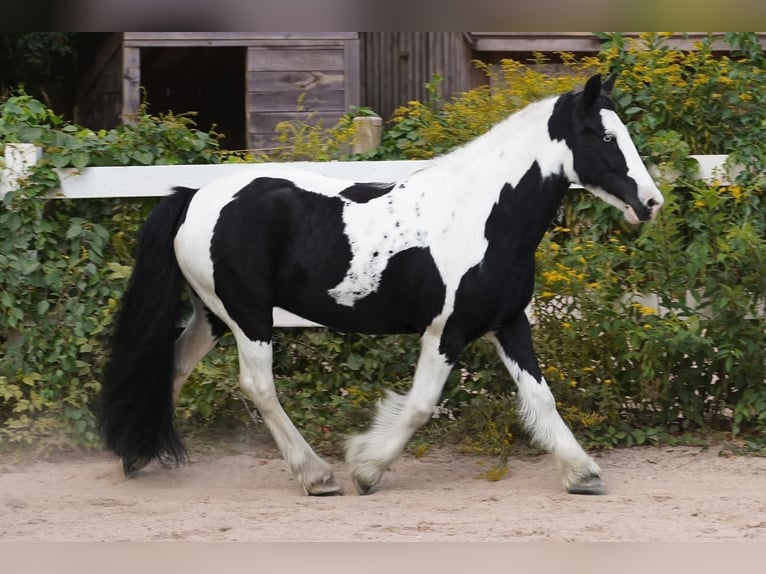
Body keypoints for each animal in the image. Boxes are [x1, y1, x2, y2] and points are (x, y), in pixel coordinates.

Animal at [100, 75, 664, 500]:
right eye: (604, 136)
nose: (651, 202)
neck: (484, 216)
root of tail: (193, 196)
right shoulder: (446, 331)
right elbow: (420, 406)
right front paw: (366, 469)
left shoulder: (508, 322)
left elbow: (541, 398)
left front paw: (583, 472)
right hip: (248, 316)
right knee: (258, 387)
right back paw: (317, 475)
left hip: (214, 314)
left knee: (172, 364)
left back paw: (136, 455)